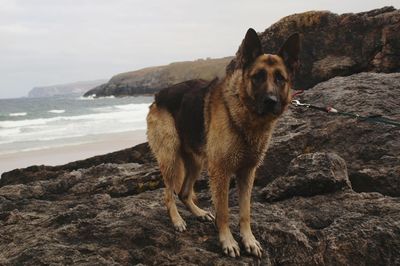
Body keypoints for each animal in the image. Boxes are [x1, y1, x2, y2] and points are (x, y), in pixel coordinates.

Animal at [147, 28, 300, 256]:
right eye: (257, 77)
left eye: (281, 78)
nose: (270, 101)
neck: (245, 117)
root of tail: (158, 95)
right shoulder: (221, 172)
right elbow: (224, 212)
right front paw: (228, 241)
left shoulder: (247, 173)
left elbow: (245, 212)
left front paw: (249, 240)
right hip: (171, 158)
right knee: (168, 194)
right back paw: (177, 220)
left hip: (197, 162)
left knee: (183, 192)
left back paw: (199, 212)